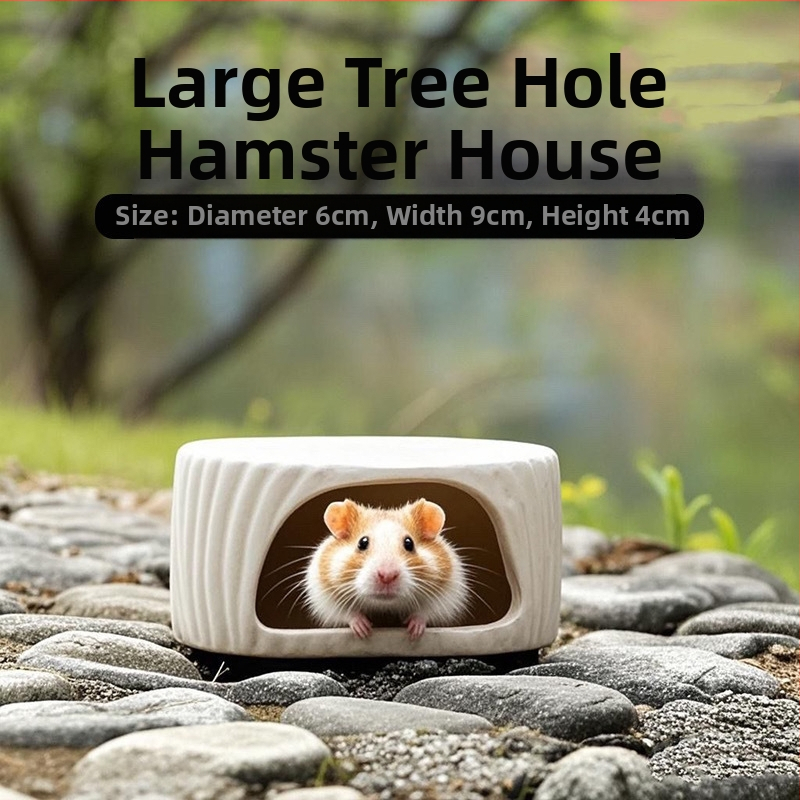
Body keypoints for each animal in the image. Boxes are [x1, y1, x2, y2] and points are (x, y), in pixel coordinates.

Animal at [302, 498, 469, 640]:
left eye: (409, 543)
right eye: (362, 543)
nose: (387, 576)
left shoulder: (447, 596)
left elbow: (425, 612)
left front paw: (413, 632)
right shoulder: (324, 597)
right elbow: (346, 612)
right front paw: (364, 631)